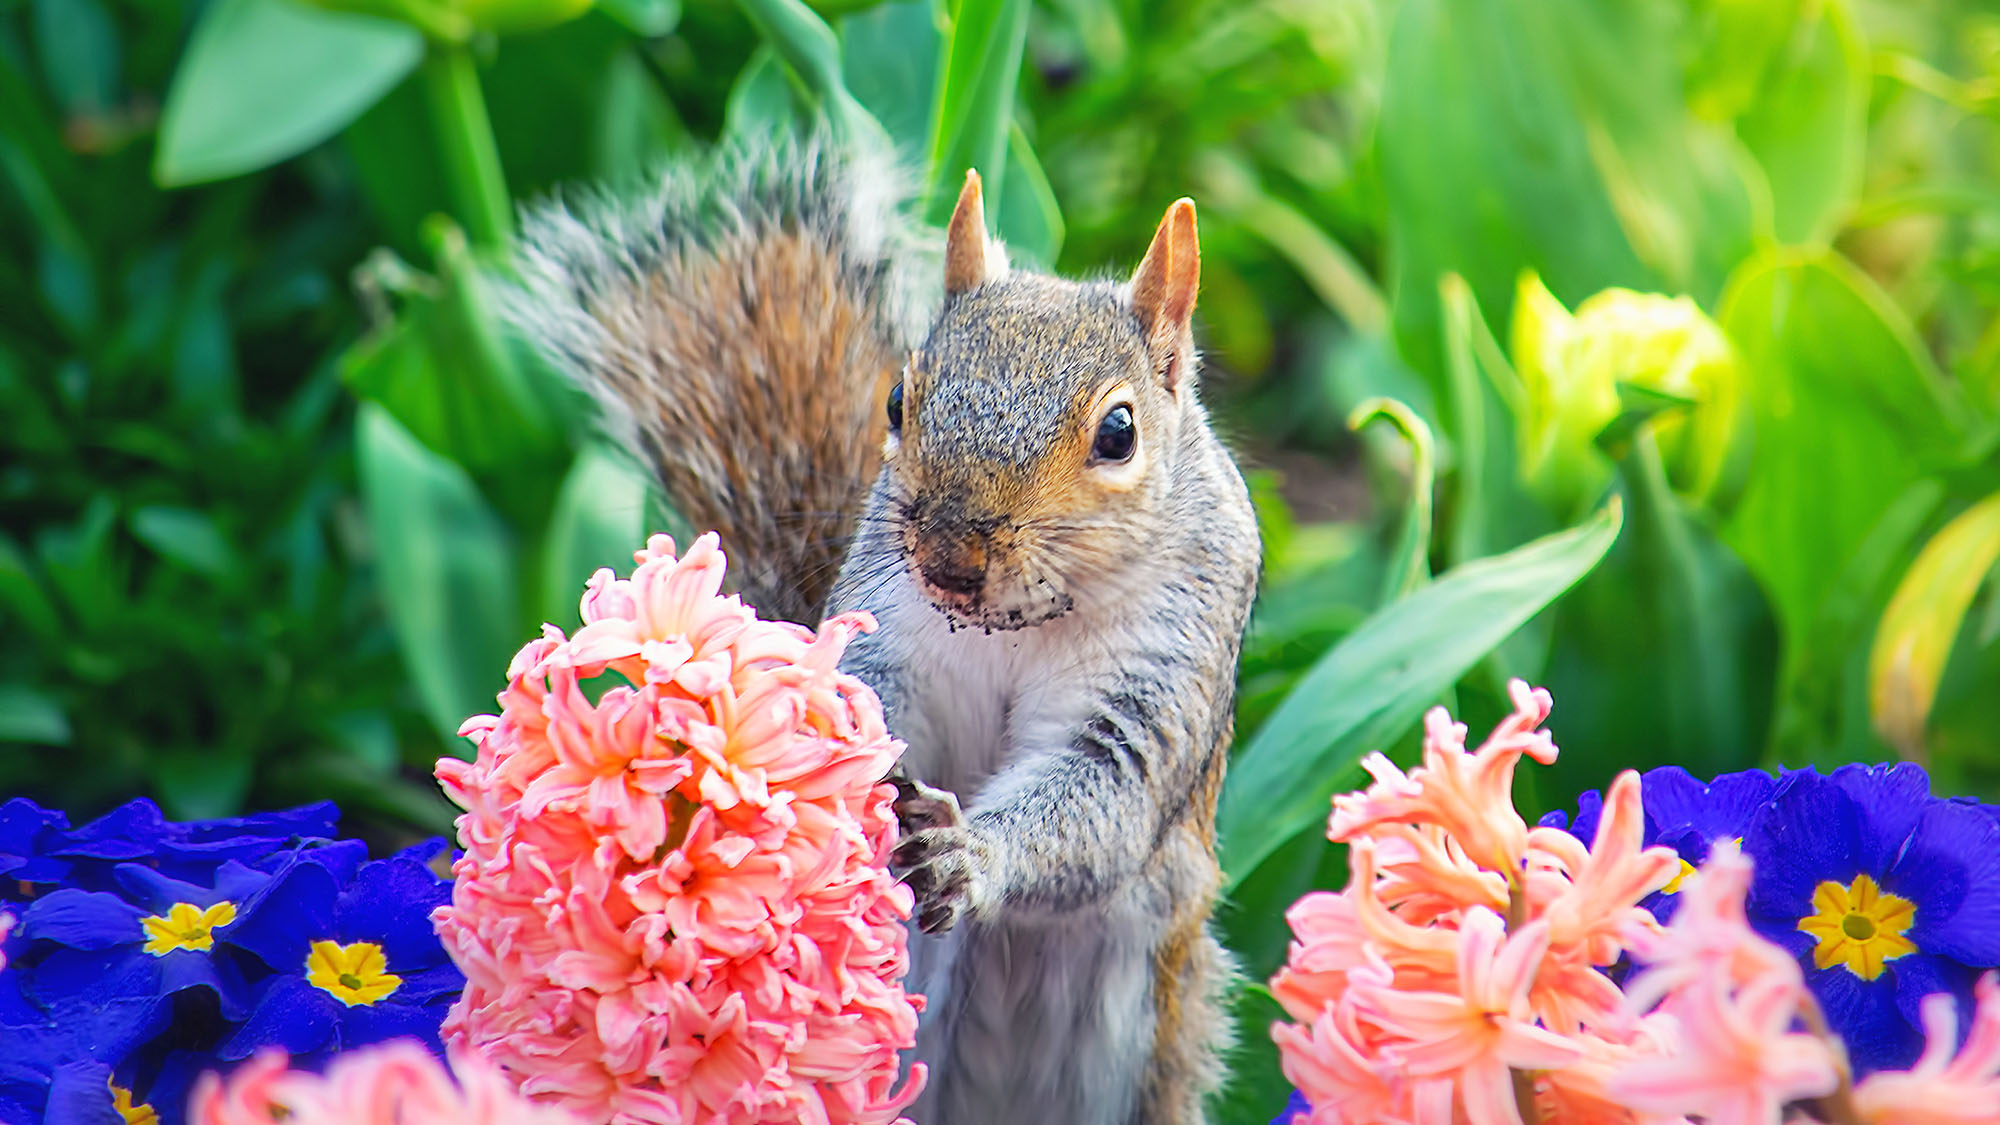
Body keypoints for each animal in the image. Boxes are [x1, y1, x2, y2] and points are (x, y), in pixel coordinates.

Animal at [507, 131, 1262, 1125]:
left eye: (1119, 433)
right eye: (899, 400)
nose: (949, 555)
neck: (1016, 622)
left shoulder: (1164, 663)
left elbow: (1106, 790)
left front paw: (968, 854)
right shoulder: (887, 627)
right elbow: (864, 707)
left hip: (1149, 1025)